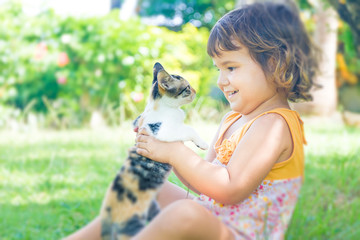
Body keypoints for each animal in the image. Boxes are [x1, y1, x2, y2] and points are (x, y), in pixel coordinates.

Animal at [100, 62, 210, 240]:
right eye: (187, 87)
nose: (195, 91)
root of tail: (106, 215)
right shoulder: (163, 131)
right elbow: (189, 128)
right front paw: (203, 143)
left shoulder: (139, 120)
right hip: (131, 225)